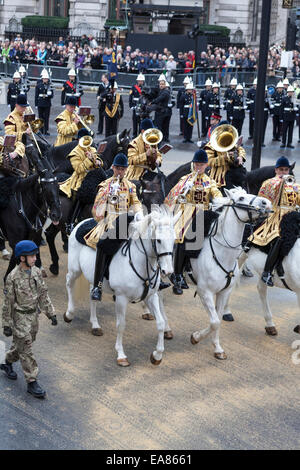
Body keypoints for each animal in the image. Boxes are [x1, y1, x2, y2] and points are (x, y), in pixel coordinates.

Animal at [65, 207, 178, 368]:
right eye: (158, 240)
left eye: (174, 240)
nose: (167, 271)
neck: (140, 263)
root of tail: (83, 221)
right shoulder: (121, 298)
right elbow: (121, 325)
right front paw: (121, 355)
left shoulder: (151, 296)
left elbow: (161, 323)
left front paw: (157, 355)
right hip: (75, 269)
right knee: (69, 282)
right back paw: (69, 313)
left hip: (93, 277)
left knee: (92, 294)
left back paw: (95, 325)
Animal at [190, 187, 272, 360]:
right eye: (240, 198)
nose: (266, 202)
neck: (221, 253)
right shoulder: (204, 292)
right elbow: (214, 322)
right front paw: (196, 337)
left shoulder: (223, 292)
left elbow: (218, 321)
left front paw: (217, 348)